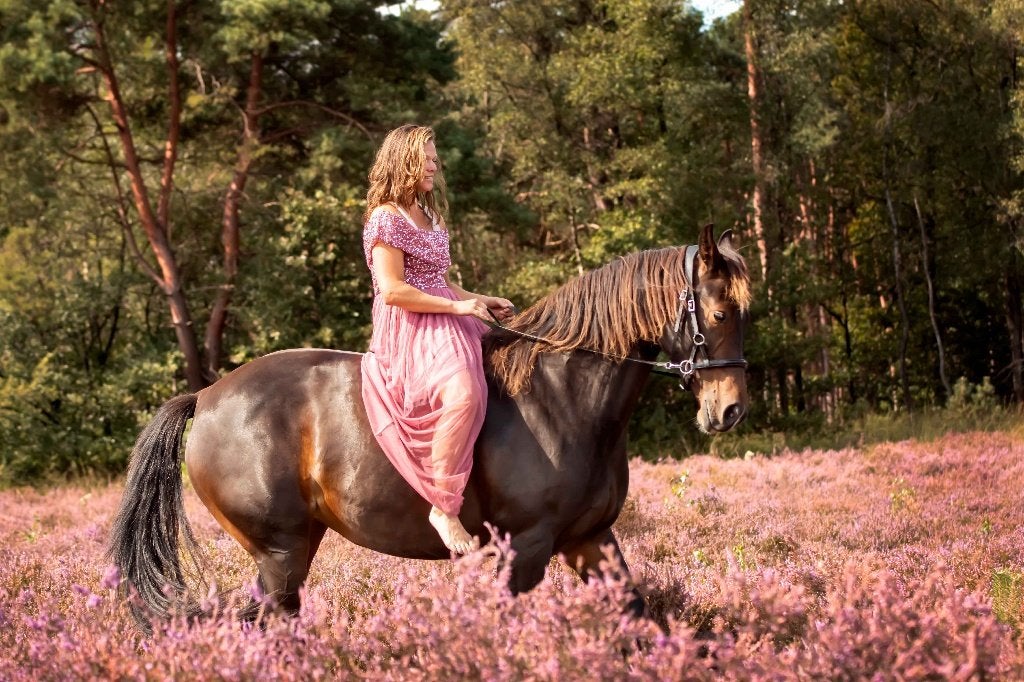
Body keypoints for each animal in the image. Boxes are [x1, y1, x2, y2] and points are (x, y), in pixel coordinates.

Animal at [109, 224, 751, 627]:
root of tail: (206, 396)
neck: (564, 398)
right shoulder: (525, 547)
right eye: (721, 313)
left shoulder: (590, 539)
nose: (730, 411)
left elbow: (639, 619)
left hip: (293, 549)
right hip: (279, 551)